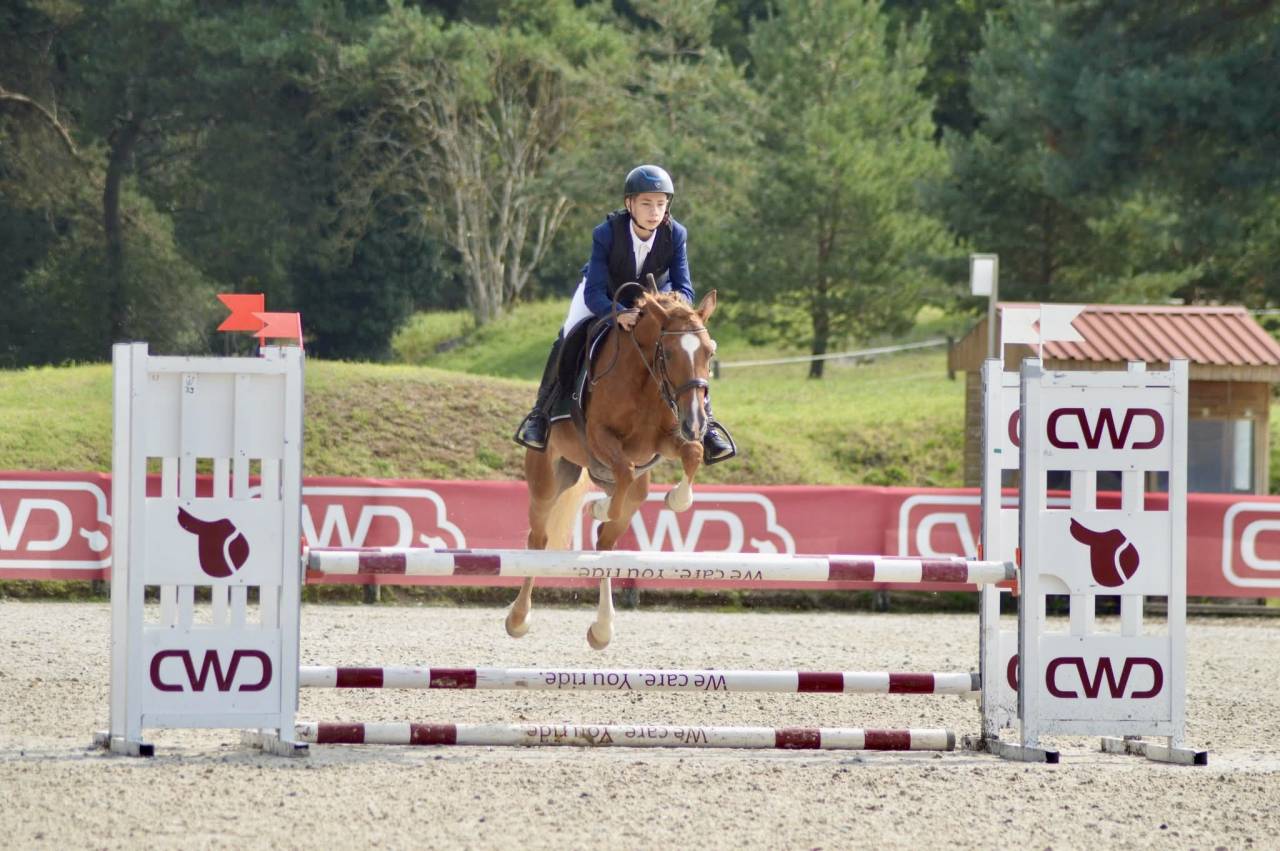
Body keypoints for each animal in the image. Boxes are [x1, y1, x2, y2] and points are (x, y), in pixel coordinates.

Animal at [507, 280, 719, 649]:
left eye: (709, 353)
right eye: (669, 353)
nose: (696, 422)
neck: (645, 378)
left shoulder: (663, 440)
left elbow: (691, 454)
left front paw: (677, 499)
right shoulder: (599, 437)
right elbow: (623, 469)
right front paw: (599, 508)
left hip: (634, 493)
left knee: (606, 543)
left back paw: (602, 628)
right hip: (547, 481)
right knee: (539, 539)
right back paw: (519, 619)